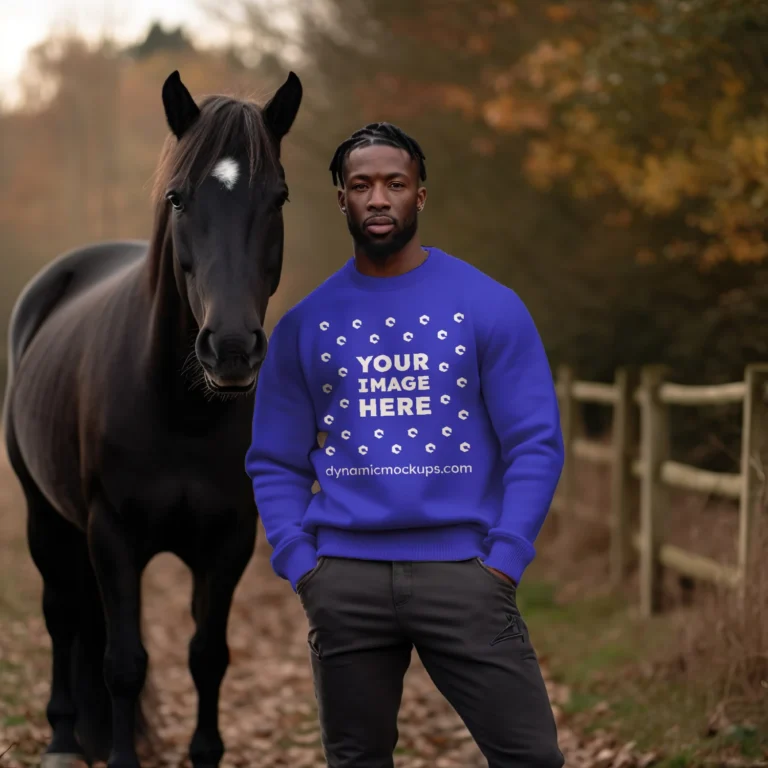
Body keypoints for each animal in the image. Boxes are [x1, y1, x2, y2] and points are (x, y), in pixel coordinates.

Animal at [3, 69, 304, 764]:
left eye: (278, 197)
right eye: (177, 198)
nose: (231, 347)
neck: (179, 411)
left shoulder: (229, 542)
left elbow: (208, 657)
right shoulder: (112, 536)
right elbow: (124, 664)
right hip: (44, 517)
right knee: (62, 614)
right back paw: (63, 738)